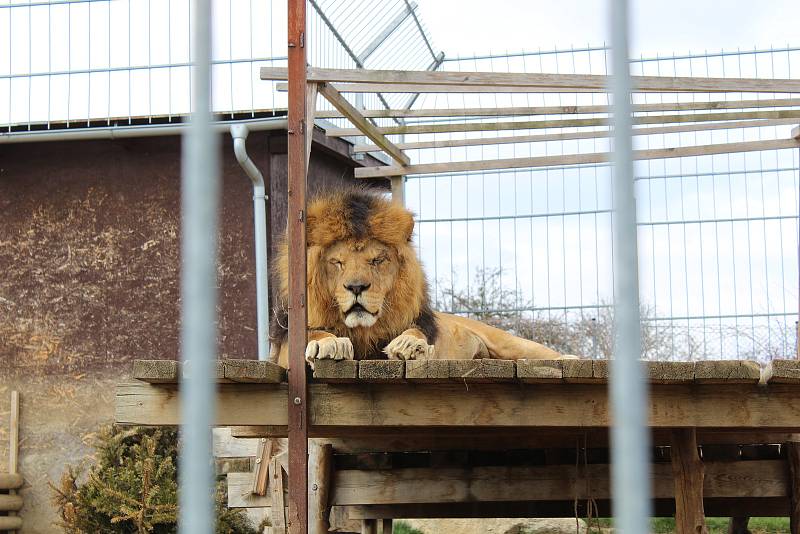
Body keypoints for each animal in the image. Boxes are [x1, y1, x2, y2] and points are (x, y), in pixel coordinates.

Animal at [272, 188, 572, 368]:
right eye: (337, 262)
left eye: (377, 260)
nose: (356, 287)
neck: (363, 330)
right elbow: (312, 332)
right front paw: (329, 342)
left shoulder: (420, 323)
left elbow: (416, 331)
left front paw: (410, 345)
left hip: (508, 342)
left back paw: (569, 357)